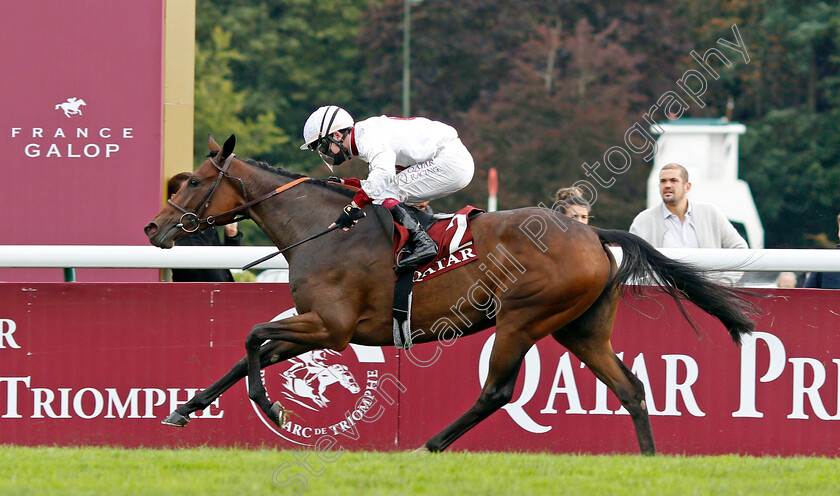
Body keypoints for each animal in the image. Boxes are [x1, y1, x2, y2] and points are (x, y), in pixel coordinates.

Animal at [141, 135, 756, 454]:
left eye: (195, 181)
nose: (154, 228)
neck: (321, 228)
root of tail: (592, 233)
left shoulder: (331, 327)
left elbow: (252, 337)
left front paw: (268, 406)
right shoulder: (316, 325)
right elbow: (249, 353)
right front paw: (183, 411)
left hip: (523, 318)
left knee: (498, 391)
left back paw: (428, 446)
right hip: (578, 328)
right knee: (630, 388)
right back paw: (650, 463)